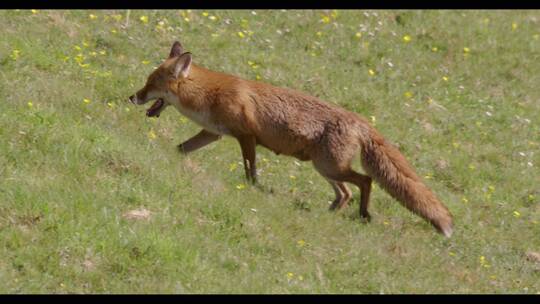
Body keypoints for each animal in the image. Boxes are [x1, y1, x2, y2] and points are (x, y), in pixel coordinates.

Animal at [129, 41, 454, 235]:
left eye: (150, 83)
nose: (132, 97)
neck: (210, 95)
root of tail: (362, 121)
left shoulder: (246, 136)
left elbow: (250, 170)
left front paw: (252, 189)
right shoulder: (213, 133)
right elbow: (181, 149)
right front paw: (174, 161)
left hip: (331, 167)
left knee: (365, 181)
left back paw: (363, 215)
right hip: (325, 168)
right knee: (345, 193)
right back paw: (328, 214)